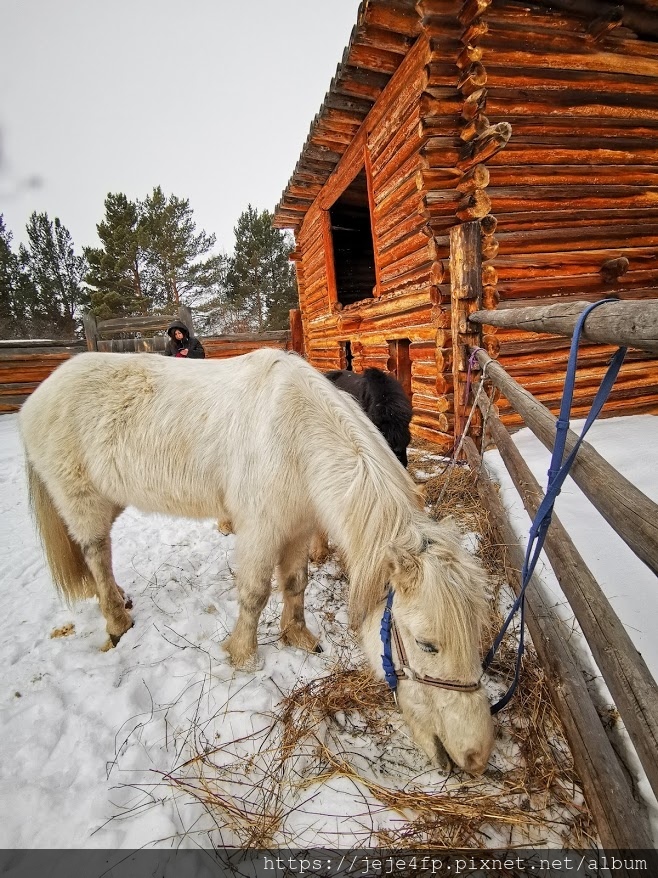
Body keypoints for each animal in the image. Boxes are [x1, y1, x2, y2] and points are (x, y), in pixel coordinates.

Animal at [19, 350, 492, 776]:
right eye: (427, 645)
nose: (475, 757)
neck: (295, 438)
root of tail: (39, 396)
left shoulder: (297, 529)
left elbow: (296, 583)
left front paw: (298, 636)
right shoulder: (260, 531)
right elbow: (255, 593)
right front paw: (243, 655)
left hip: (110, 500)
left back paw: (120, 598)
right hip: (83, 502)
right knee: (96, 553)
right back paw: (117, 622)